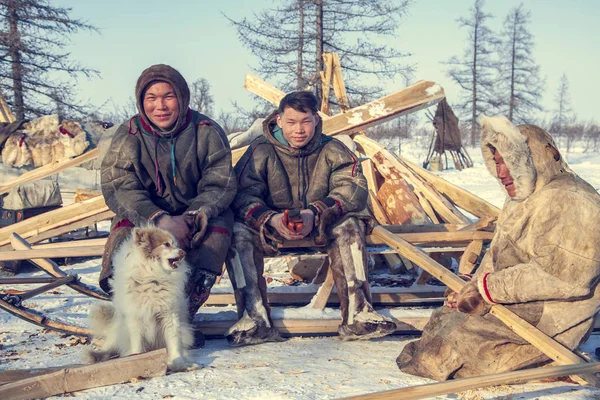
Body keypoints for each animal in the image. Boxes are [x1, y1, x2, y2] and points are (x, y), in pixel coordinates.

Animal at [87, 227, 199, 370]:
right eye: (166, 244)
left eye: (175, 244)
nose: (183, 252)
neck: (152, 276)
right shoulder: (135, 317)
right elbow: (137, 344)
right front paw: (137, 359)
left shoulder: (168, 314)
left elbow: (173, 341)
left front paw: (178, 363)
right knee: (109, 350)